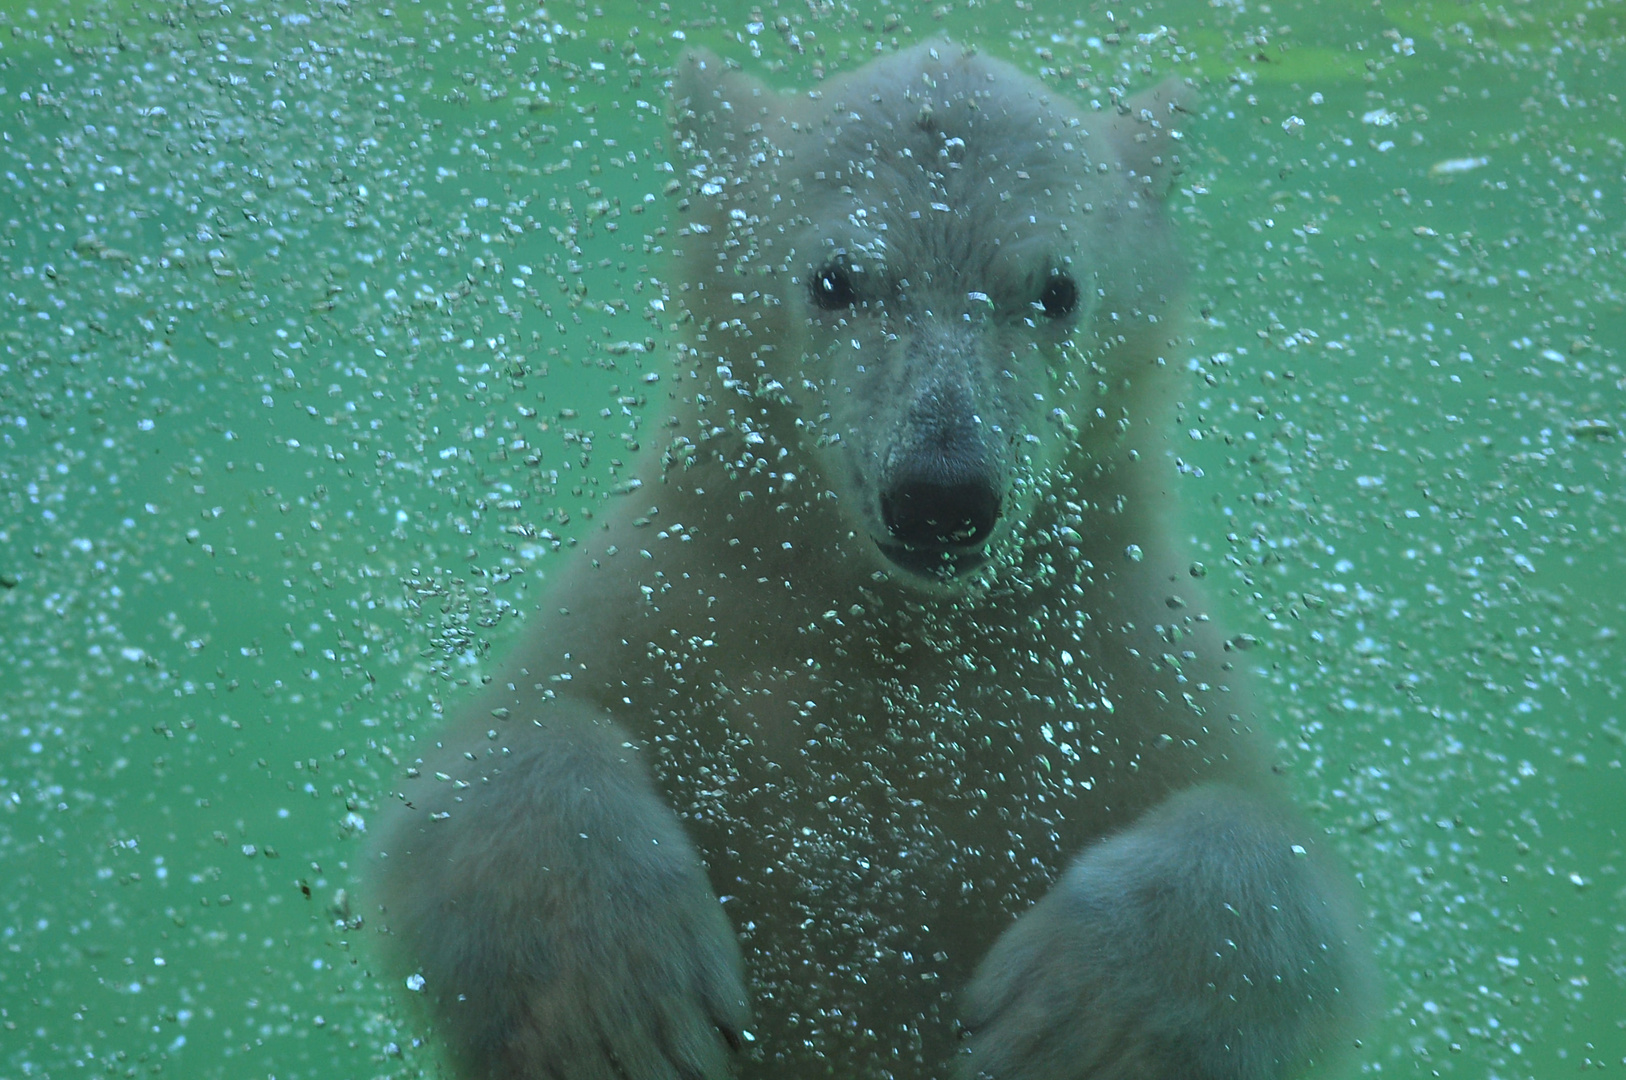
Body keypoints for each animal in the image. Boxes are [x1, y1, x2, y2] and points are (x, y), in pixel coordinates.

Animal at [373, 40, 1365, 1080]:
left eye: (1057, 289)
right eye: (836, 279)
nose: (943, 494)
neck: (892, 617)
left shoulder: (1125, 665)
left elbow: (1285, 867)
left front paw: (1085, 1025)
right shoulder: (668, 600)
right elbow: (467, 780)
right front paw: (616, 998)